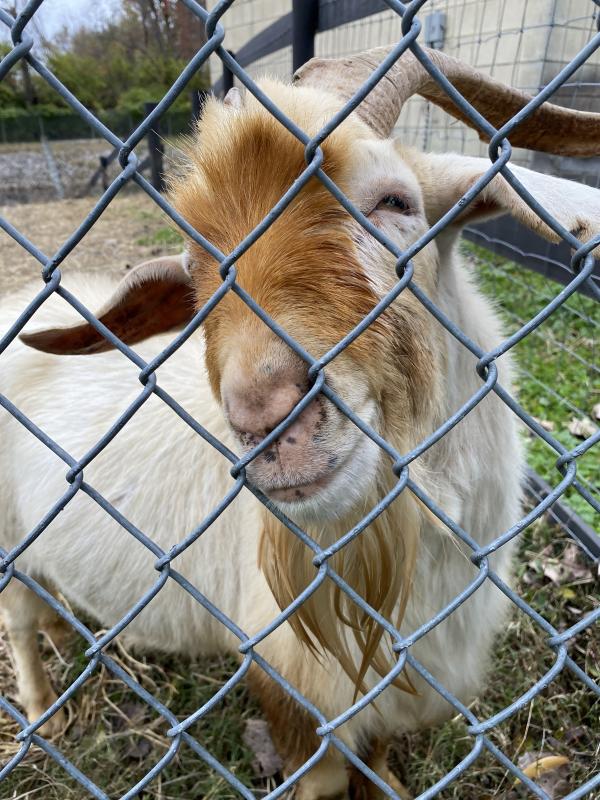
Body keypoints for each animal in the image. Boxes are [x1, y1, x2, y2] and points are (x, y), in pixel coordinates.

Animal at [3, 47, 600, 796]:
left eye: (396, 202)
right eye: (199, 278)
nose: (263, 416)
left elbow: (379, 764)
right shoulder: (291, 690)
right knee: (17, 620)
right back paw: (42, 711)